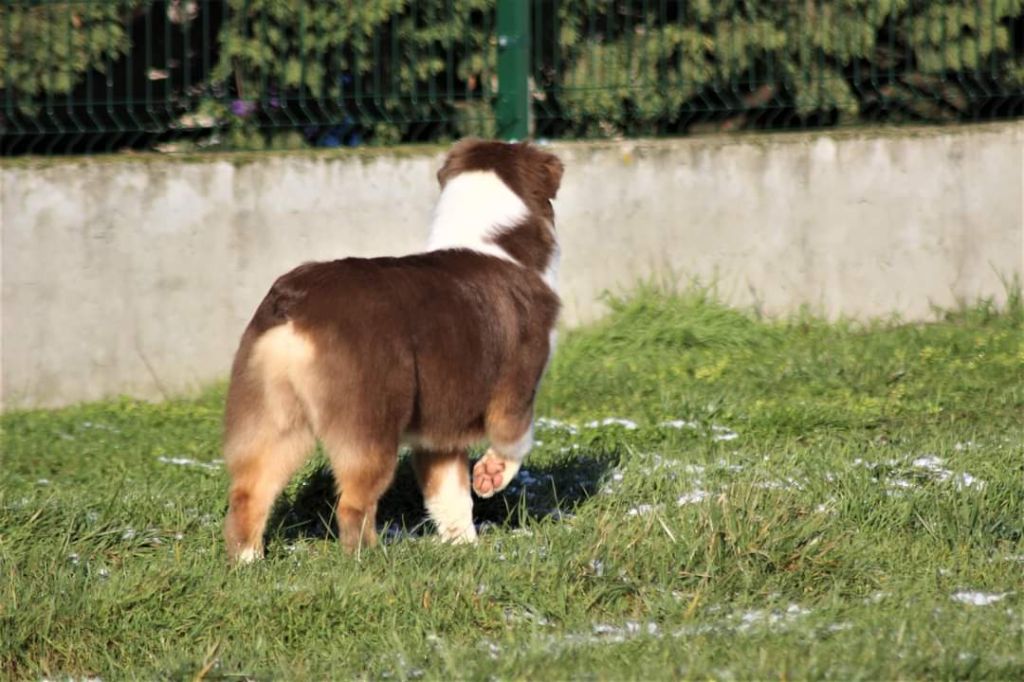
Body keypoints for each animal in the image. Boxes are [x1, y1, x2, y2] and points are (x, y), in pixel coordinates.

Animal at [219, 139, 565, 561]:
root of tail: (295, 306)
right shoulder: (518, 381)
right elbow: (516, 438)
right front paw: (490, 477)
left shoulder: (442, 423)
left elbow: (448, 491)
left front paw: (463, 547)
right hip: (369, 415)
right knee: (352, 502)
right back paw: (371, 558)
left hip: (272, 413)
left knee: (250, 491)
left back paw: (249, 562)